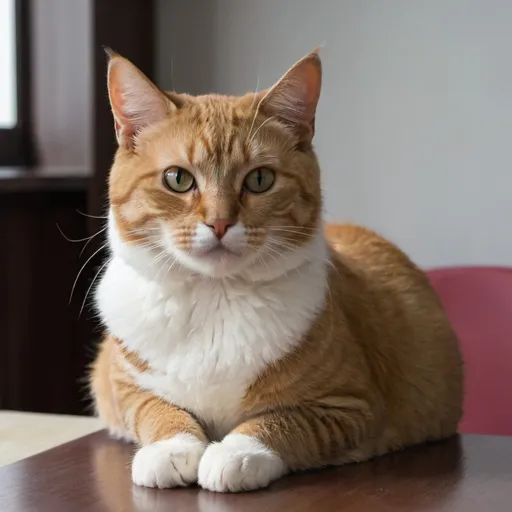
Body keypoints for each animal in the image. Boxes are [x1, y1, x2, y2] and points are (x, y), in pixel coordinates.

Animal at [89, 49, 464, 492]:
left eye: (260, 179)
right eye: (177, 178)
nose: (219, 223)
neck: (215, 298)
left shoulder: (350, 406)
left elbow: (284, 422)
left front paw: (237, 453)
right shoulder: (122, 385)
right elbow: (154, 409)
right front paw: (172, 447)